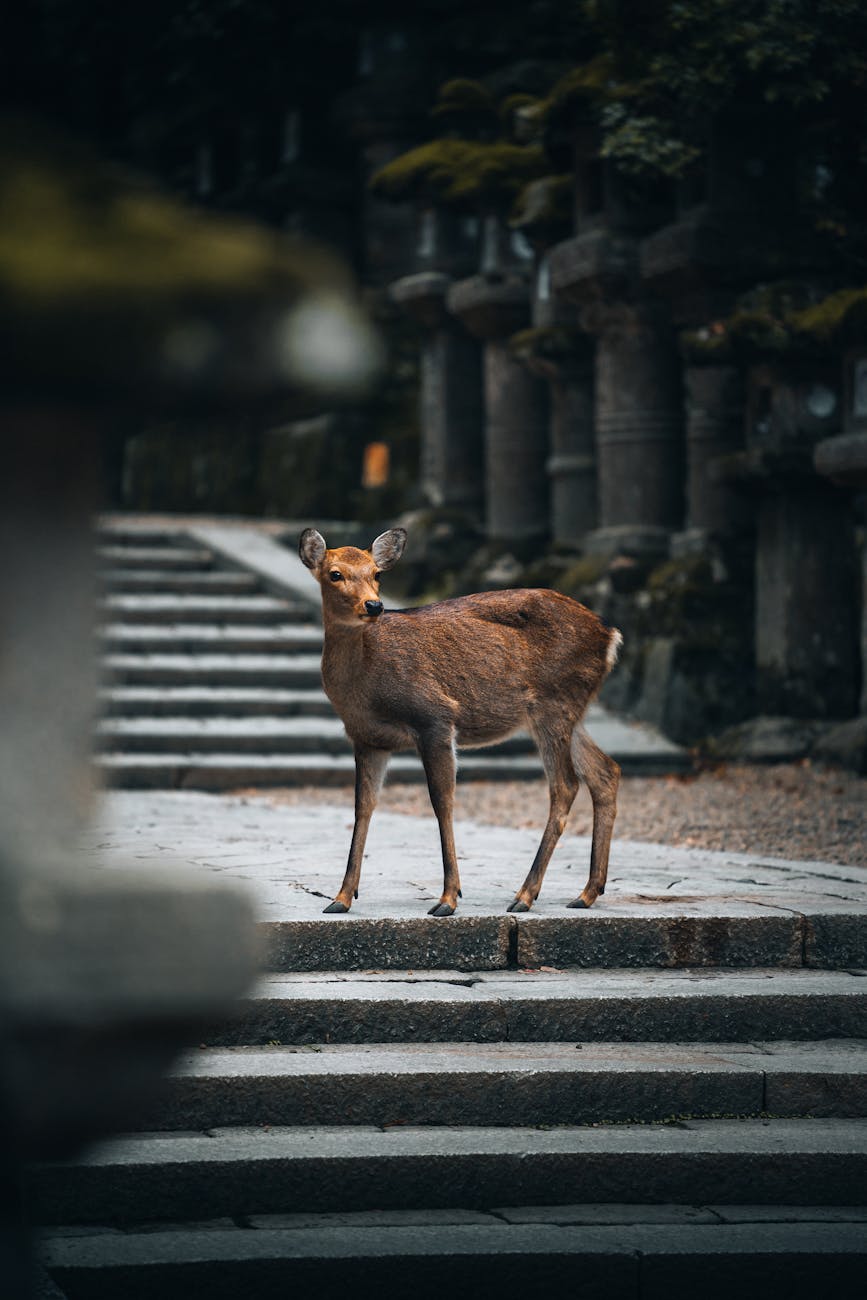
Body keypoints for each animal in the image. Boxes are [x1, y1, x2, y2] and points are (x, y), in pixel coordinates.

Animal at [299, 526, 622, 917]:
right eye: (335, 574)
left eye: (377, 574)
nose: (374, 606)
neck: (365, 684)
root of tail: (611, 636)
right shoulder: (366, 737)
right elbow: (364, 806)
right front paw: (341, 897)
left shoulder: (434, 716)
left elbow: (442, 801)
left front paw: (448, 898)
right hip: (570, 711)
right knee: (605, 771)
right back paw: (587, 892)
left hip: (554, 703)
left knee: (565, 785)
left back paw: (525, 895)